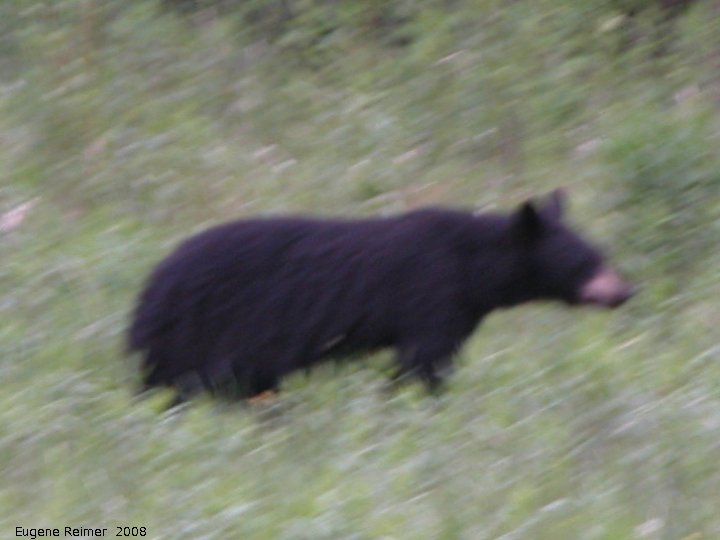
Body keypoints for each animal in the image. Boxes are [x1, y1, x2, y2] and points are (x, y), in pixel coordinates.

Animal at [128, 190, 633, 401]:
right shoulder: (431, 293)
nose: (625, 291)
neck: (472, 266)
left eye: (602, 253)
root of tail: (150, 287)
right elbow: (424, 360)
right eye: (584, 263)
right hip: (204, 332)